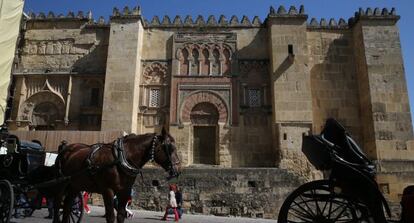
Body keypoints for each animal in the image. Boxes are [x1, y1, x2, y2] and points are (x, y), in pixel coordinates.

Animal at [52, 128, 181, 223]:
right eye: (170, 147)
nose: (178, 170)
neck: (121, 157)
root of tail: (66, 149)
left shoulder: (124, 191)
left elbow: (121, 215)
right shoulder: (108, 190)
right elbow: (110, 217)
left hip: (74, 186)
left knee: (67, 207)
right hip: (61, 184)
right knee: (57, 204)